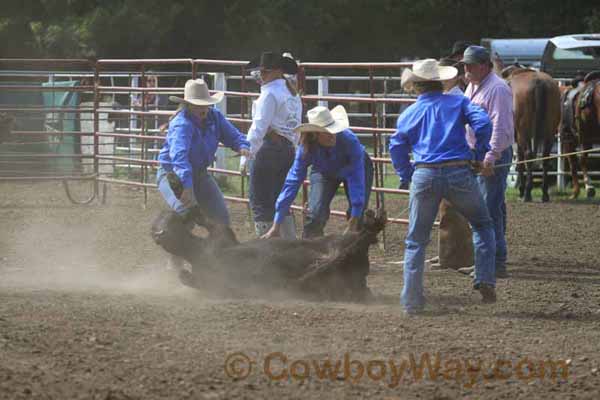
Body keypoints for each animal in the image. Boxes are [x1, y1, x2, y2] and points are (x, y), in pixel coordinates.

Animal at [502, 67, 564, 203]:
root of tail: (538, 83)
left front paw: (521, 190)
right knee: (545, 157)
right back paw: (544, 194)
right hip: (549, 132)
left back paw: (527, 194)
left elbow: (520, 162)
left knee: (528, 155)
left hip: (523, 133)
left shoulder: (517, 139)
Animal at [556, 72, 600, 200]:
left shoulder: (568, 138)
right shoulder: (584, 138)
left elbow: (574, 162)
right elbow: (581, 160)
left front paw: (578, 190)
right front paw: (588, 187)